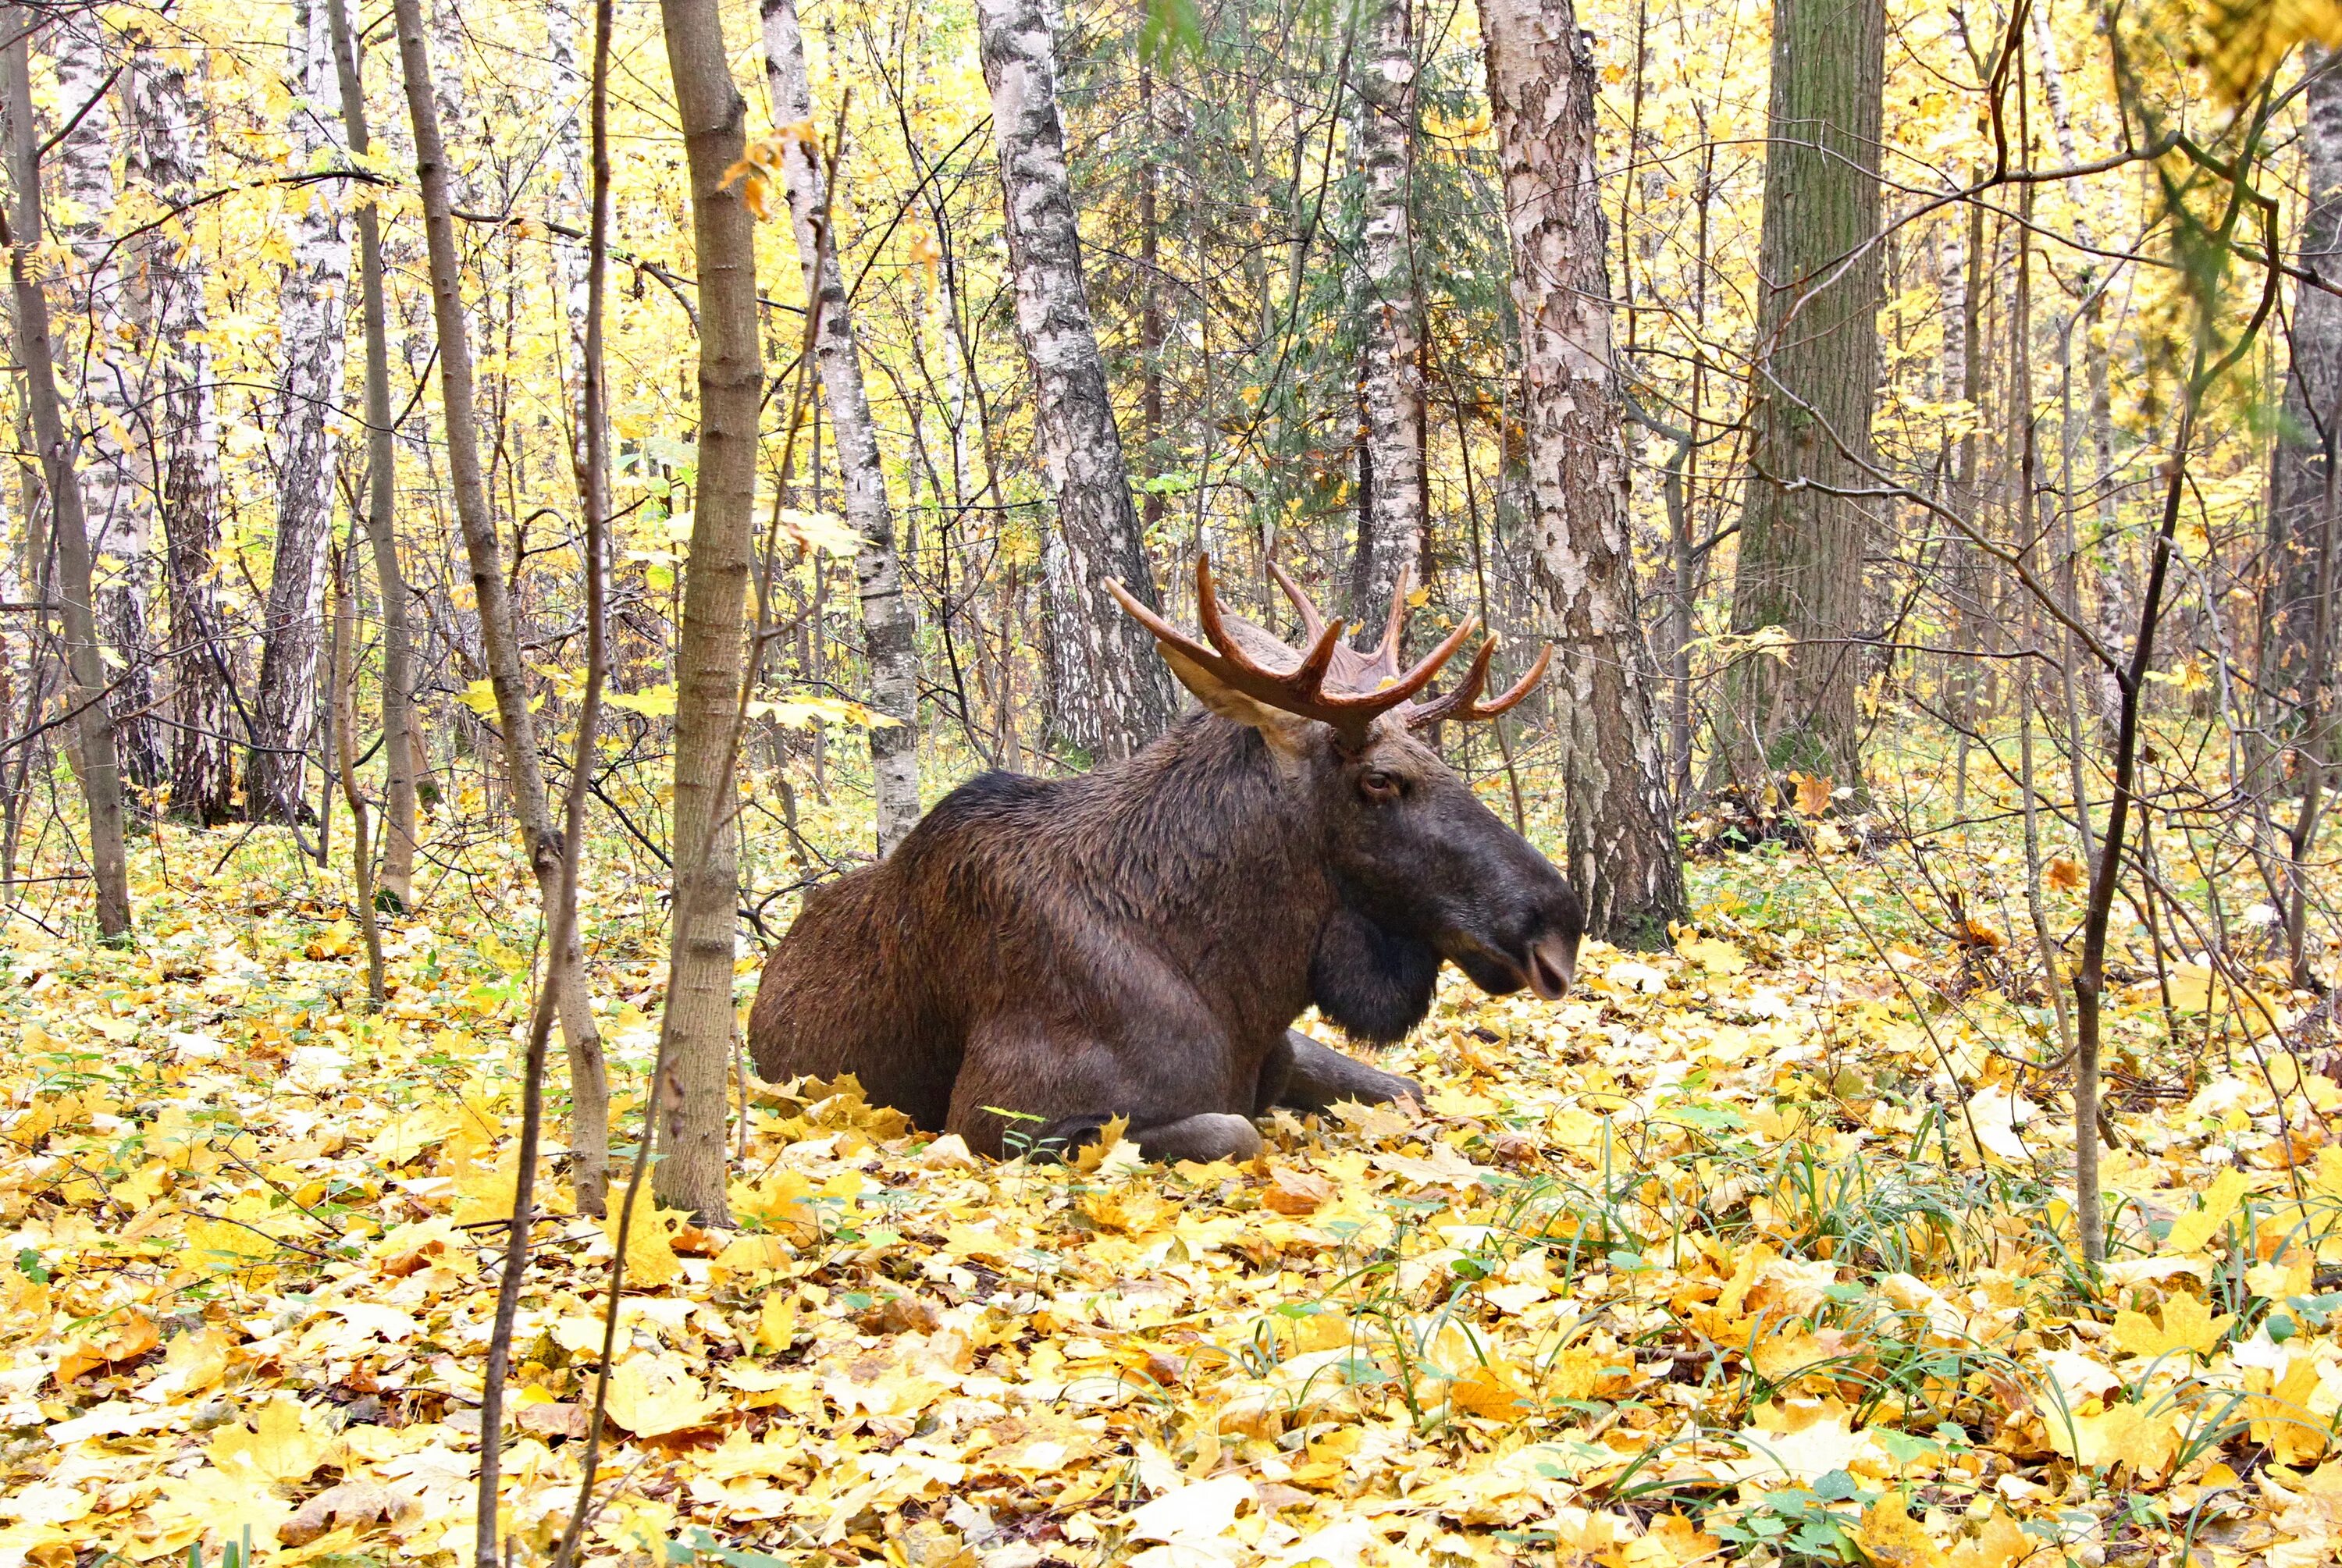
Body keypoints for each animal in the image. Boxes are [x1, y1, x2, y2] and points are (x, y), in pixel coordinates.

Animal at [754, 556, 1593, 1165]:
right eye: (1380, 779)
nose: (1558, 924)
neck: (1233, 978)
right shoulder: (997, 1117)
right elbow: (1237, 1129)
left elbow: (1405, 1090)